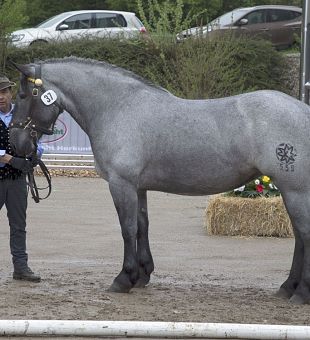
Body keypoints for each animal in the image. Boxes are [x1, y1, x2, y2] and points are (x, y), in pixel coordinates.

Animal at [9, 57, 310, 304]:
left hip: (294, 190)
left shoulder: (121, 184)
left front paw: (123, 279)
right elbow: (142, 227)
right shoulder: (138, 187)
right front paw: (142, 275)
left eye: (23, 95)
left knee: (304, 234)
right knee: (299, 237)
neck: (117, 107)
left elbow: (127, 229)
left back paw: (300, 293)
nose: (16, 143)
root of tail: (303, 110)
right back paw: (287, 287)